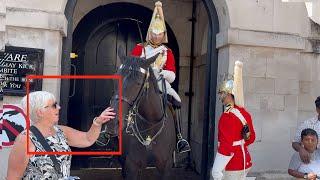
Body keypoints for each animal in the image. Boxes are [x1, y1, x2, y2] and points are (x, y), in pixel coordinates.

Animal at [105, 47, 175, 180]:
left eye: (137, 82)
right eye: (115, 78)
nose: (112, 123)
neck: (151, 125)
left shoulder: (166, 167)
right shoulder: (131, 166)